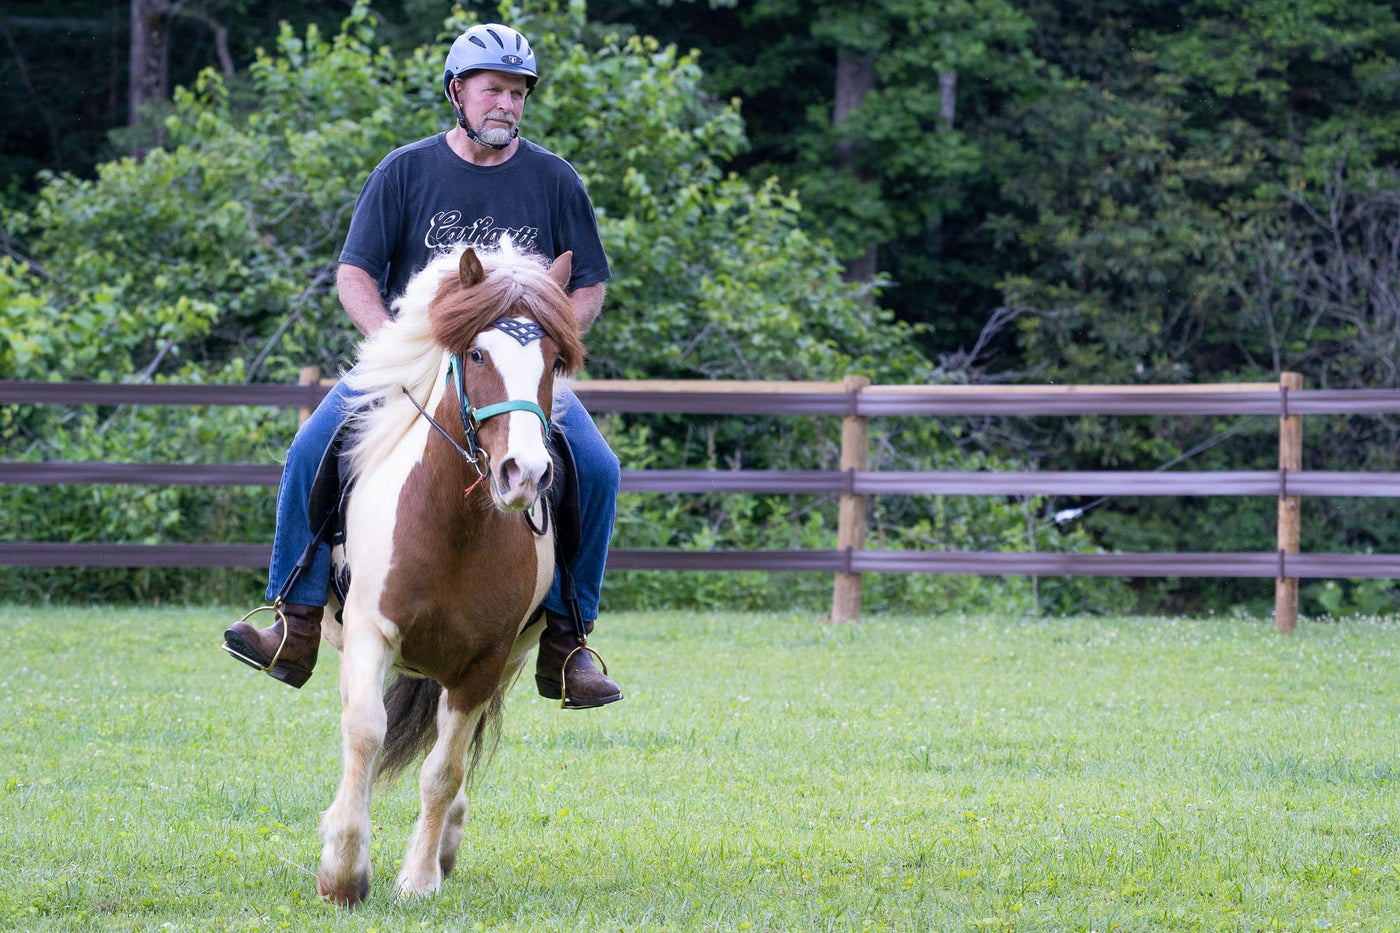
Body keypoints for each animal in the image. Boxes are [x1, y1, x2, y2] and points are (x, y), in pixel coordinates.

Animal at [313, 241, 585, 906]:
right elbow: (365, 732)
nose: (524, 474)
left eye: (553, 362)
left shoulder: (485, 661)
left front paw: (418, 877)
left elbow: (444, 768)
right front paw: (343, 871)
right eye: (477, 354)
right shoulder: (370, 632)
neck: (453, 527)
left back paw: (446, 843)